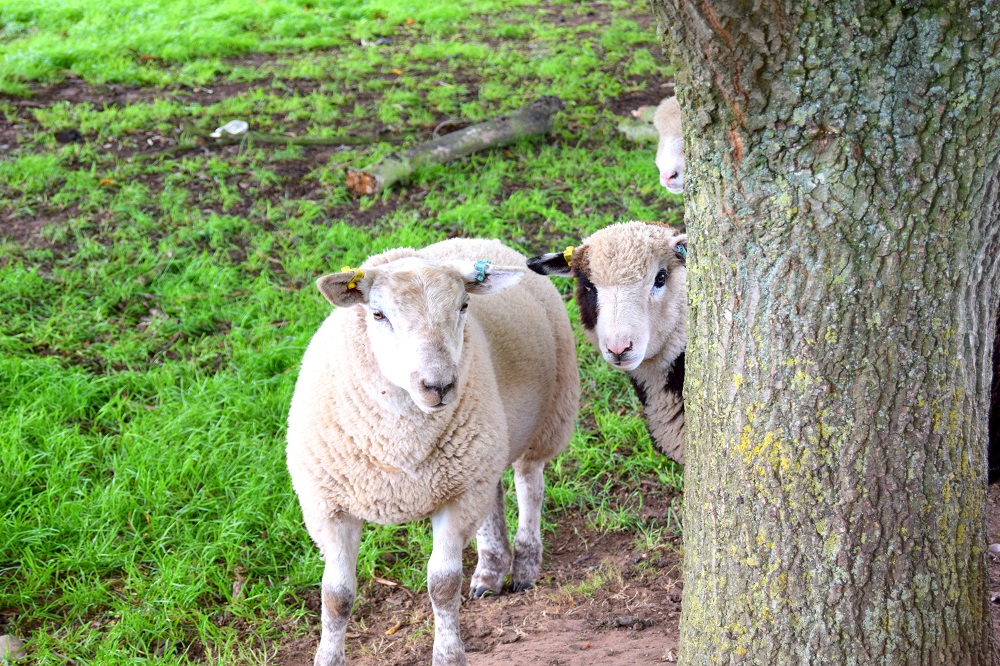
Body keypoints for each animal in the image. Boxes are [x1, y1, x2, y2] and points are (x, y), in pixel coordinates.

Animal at [286, 237, 580, 666]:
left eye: (464, 306)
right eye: (377, 314)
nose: (438, 386)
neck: (399, 452)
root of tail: (480, 240)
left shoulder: (456, 499)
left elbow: (443, 585)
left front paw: (448, 655)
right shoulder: (329, 506)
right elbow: (336, 597)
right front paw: (327, 657)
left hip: (548, 419)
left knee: (530, 485)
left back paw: (524, 565)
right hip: (482, 452)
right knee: (493, 495)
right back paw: (490, 573)